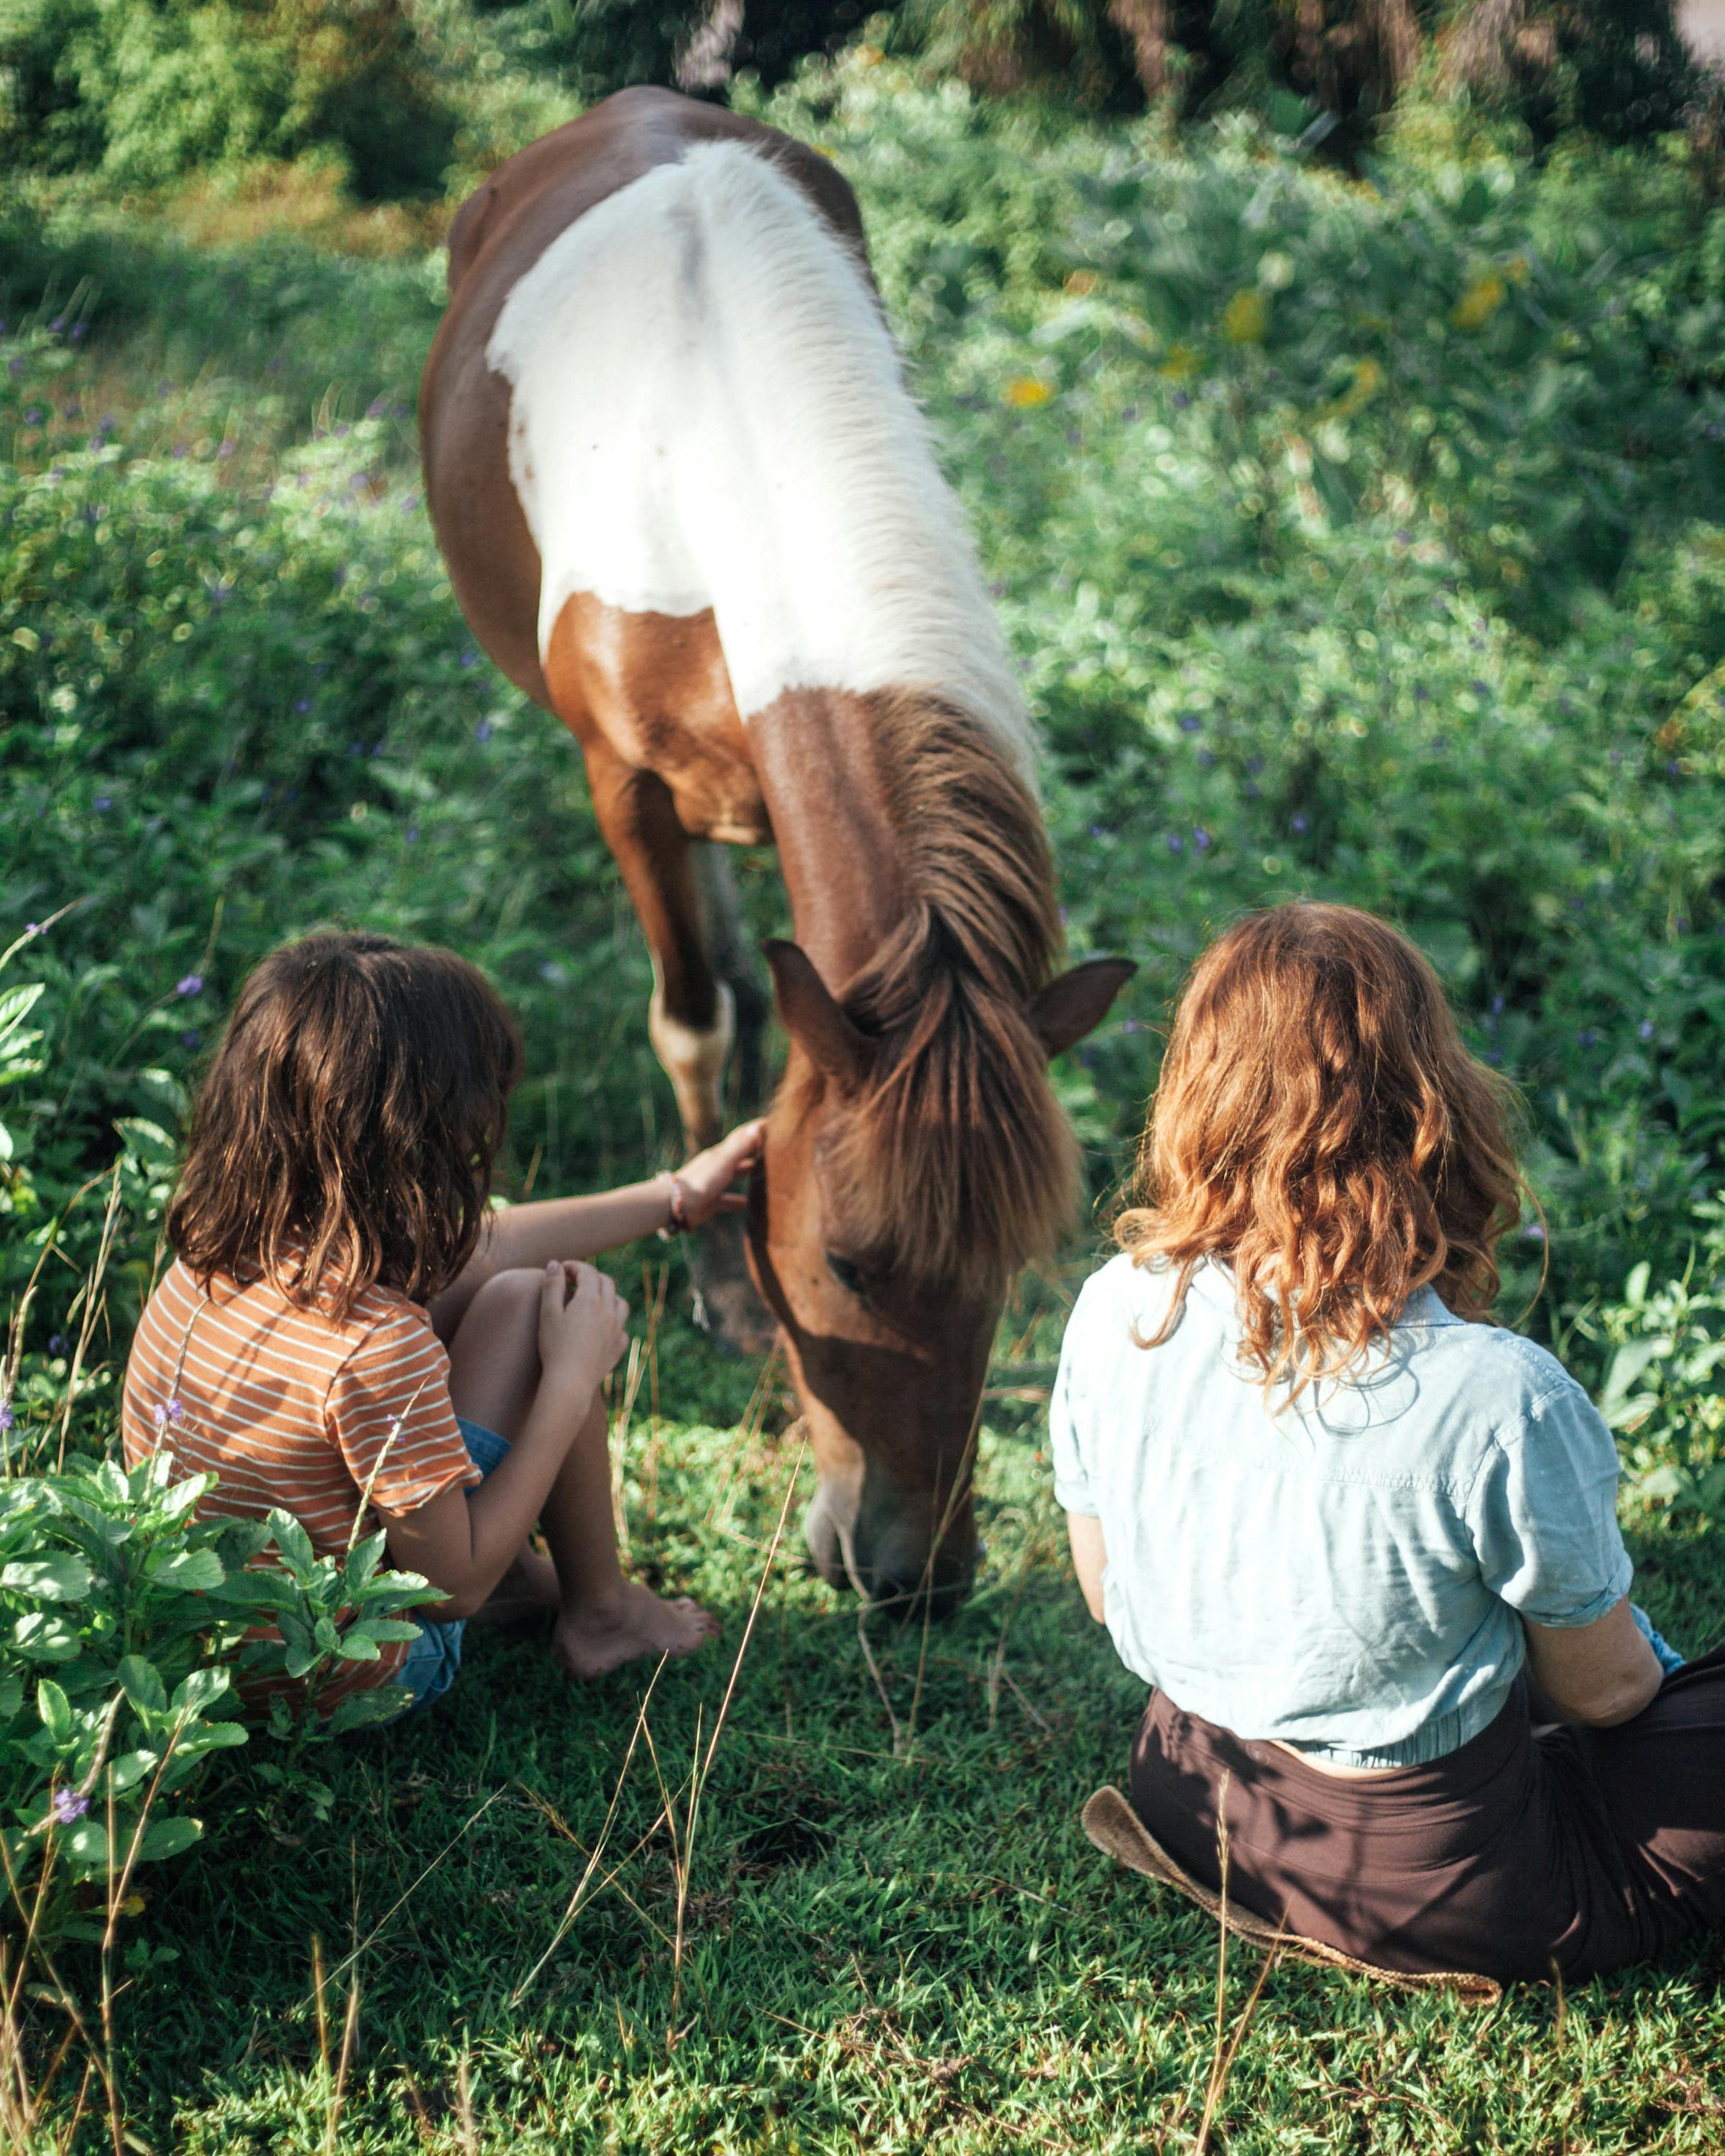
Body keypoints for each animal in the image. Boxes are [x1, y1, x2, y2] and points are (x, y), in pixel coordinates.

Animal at [420, 87, 1133, 1614]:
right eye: (853, 1268)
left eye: (1010, 1275)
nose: (912, 1578)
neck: (726, 466)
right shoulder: (626, 785)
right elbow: (693, 1013)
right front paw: (726, 1291)